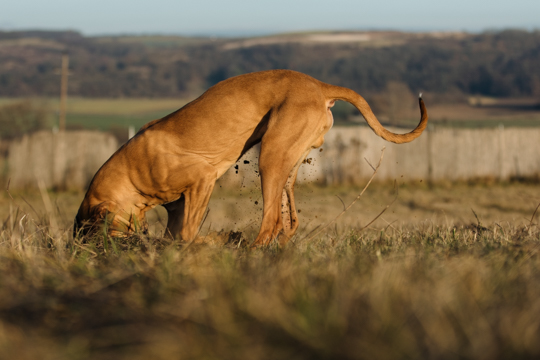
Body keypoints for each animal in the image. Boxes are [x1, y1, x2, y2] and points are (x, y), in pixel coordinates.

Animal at [74, 69, 428, 246]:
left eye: (90, 230)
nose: (79, 251)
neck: (131, 174)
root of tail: (318, 86)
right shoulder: (177, 206)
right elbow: (177, 231)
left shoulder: (201, 181)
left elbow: (187, 233)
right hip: (287, 163)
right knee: (288, 222)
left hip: (270, 157)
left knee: (271, 221)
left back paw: (251, 253)